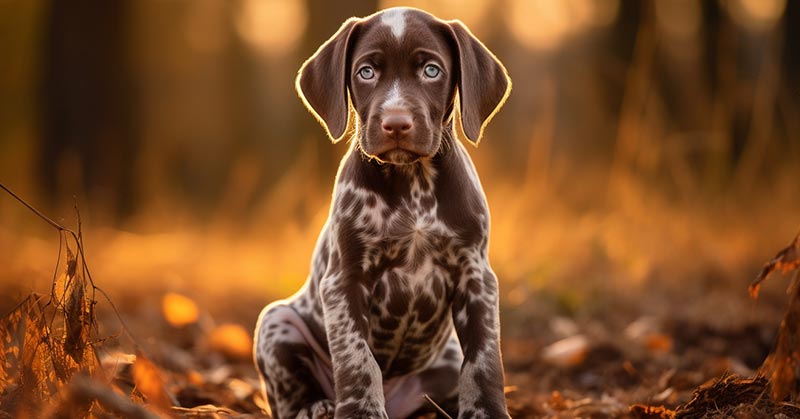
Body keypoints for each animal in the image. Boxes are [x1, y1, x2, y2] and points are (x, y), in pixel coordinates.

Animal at [256, 7, 512, 419]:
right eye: (366, 72)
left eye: (431, 70)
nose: (395, 124)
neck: (413, 182)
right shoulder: (344, 281)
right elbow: (358, 360)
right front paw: (360, 411)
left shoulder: (476, 277)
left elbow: (484, 360)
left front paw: (486, 411)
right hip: (277, 321)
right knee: (290, 393)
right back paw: (317, 406)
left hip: (442, 356)